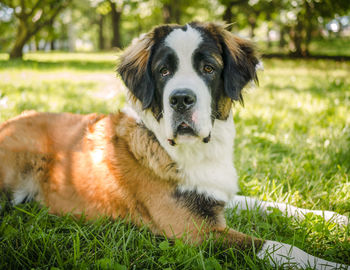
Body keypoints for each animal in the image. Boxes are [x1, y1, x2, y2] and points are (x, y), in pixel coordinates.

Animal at [0, 22, 348, 268]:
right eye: (163, 71)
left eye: (208, 68)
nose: (181, 99)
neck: (196, 150)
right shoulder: (195, 231)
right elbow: (281, 247)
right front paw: (332, 264)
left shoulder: (214, 195)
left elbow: (273, 205)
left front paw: (337, 218)